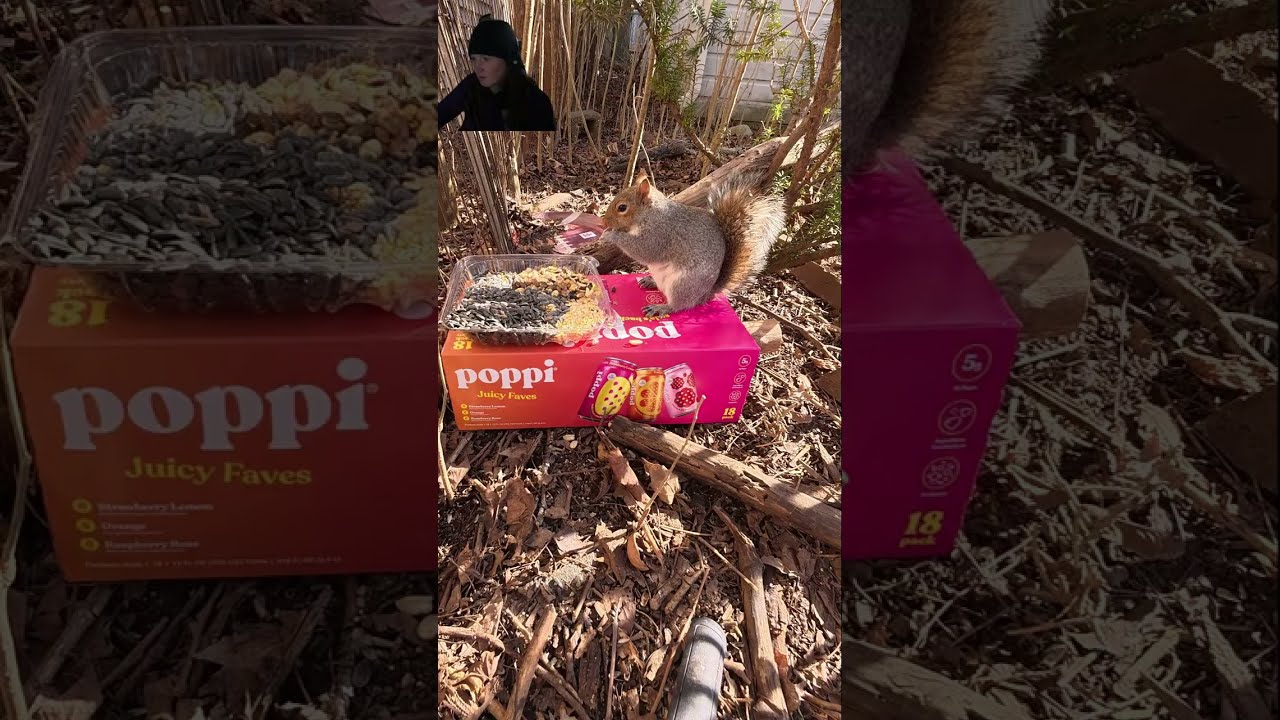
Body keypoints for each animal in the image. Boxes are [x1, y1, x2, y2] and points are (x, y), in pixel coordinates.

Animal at [601, 170, 785, 318]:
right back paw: (650, 281)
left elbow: (644, 250)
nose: (604, 222)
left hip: (682, 285)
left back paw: (662, 308)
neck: (650, 214)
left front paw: (611, 235)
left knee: (680, 305)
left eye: (622, 207)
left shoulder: (660, 234)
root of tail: (705, 295)